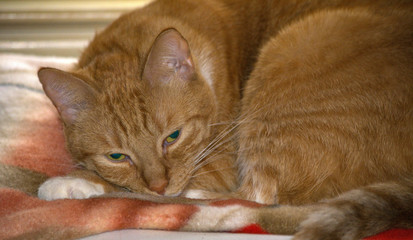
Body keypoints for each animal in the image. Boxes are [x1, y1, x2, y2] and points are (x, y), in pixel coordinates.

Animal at [36, 0, 412, 239]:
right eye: (117, 156)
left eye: (173, 137)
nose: (159, 185)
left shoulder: (220, 165)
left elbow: (143, 192)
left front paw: (76, 179)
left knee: (250, 198)